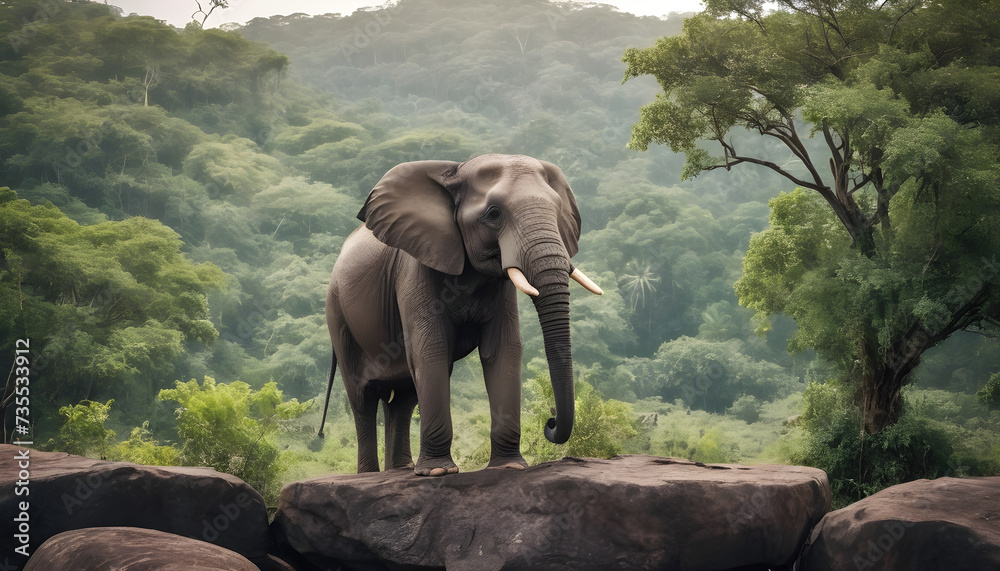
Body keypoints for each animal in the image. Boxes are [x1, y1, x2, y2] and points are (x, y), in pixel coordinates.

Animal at [318, 154, 602, 476]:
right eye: (494, 214)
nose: (550, 420)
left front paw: (509, 467)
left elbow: (503, 350)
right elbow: (432, 349)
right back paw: (371, 474)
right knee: (363, 396)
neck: (457, 170)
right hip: (338, 315)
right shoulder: (416, 267)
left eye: (557, 210)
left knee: (403, 397)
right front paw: (438, 473)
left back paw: (402, 470)